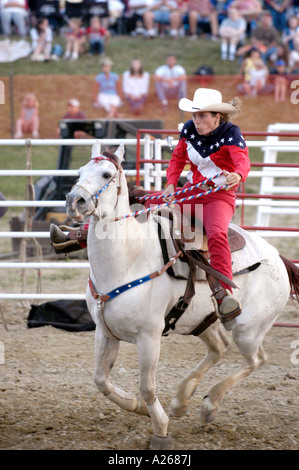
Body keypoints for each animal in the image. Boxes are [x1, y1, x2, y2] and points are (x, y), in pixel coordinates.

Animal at [64, 141, 298, 450]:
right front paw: (136, 406)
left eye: (106, 174)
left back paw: (209, 404)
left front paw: (160, 430)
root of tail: (279, 257)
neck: (128, 258)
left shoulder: (149, 337)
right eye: (79, 172)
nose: (74, 200)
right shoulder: (105, 331)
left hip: (248, 329)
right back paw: (180, 400)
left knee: (255, 360)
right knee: (219, 348)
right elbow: (101, 380)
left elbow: (147, 387)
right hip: (199, 321)